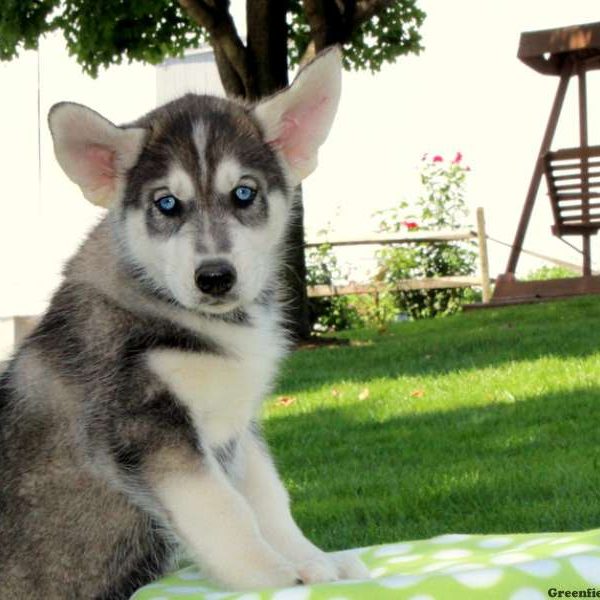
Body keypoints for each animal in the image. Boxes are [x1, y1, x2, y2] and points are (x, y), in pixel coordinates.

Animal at [0, 49, 368, 596]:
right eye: (167, 203)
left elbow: (269, 500)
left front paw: (313, 559)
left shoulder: (238, 429)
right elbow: (226, 510)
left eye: (244, 194)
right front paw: (272, 575)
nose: (214, 276)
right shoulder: (148, 426)